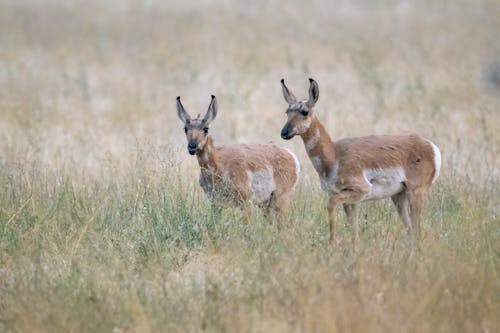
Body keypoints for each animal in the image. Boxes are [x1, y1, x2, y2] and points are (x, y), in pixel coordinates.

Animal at [282, 78, 442, 244]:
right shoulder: (351, 201)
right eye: (287, 112)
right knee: (410, 230)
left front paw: (332, 243)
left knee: (417, 231)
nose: (284, 132)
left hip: (415, 193)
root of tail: (428, 144)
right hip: (399, 196)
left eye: (304, 112)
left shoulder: (360, 190)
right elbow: (355, 232)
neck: (334, 154)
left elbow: (330, 204)